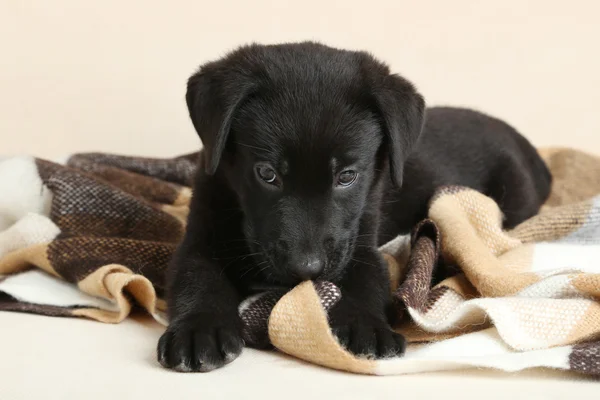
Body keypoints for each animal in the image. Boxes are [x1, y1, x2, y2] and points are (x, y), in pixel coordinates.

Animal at [157, 41, 552, 372]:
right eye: (267, 174)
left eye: (347, 176)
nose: (306, 269)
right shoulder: (201, 234)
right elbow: (197, 277)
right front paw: (199, 330)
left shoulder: (360, 241)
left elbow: (369, 280)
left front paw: (367, 327)